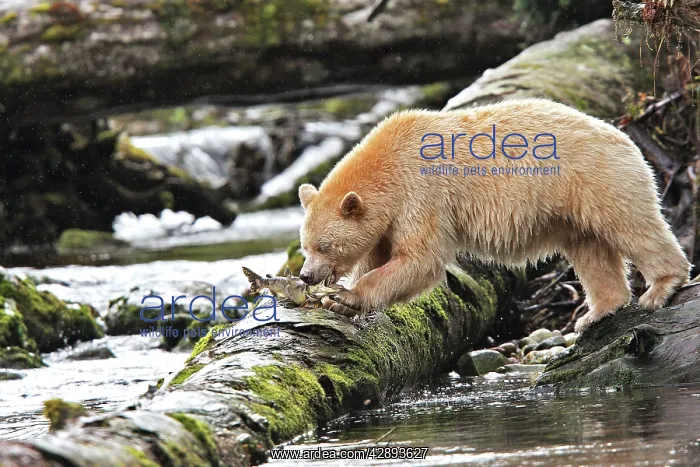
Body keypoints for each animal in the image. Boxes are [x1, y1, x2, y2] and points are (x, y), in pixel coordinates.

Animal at [297, 98, 691, 333]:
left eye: (324, 245)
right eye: (305, 246)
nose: (305, 275)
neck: (388, 164)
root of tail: (626, 137)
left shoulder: (421, 194)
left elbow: (419, 260)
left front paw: (348, 296)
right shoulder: (389, 219)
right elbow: (378, 253)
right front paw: (335, 300)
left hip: (597, 180)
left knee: (633, 227)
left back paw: (661, 286)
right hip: (575, 208)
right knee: (590, 250)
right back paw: (598, 311)